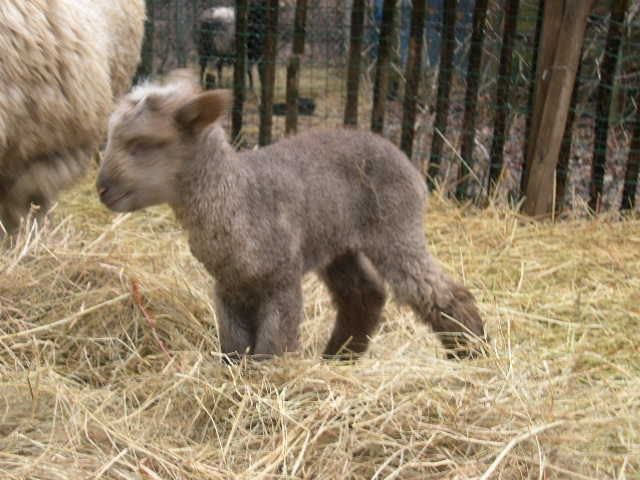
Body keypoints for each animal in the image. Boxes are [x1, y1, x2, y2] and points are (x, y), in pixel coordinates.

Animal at [96, 71, 486, 360]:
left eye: (142, 144)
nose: (102, 188)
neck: (239, 196)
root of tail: (403, 156)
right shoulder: (228, 288)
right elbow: (234, 349)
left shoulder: (281, 281)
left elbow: (272, 349)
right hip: (339, 242)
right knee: (363, 295)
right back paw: (339, 356)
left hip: (396, 228)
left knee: (441, 293)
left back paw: (472, 351)